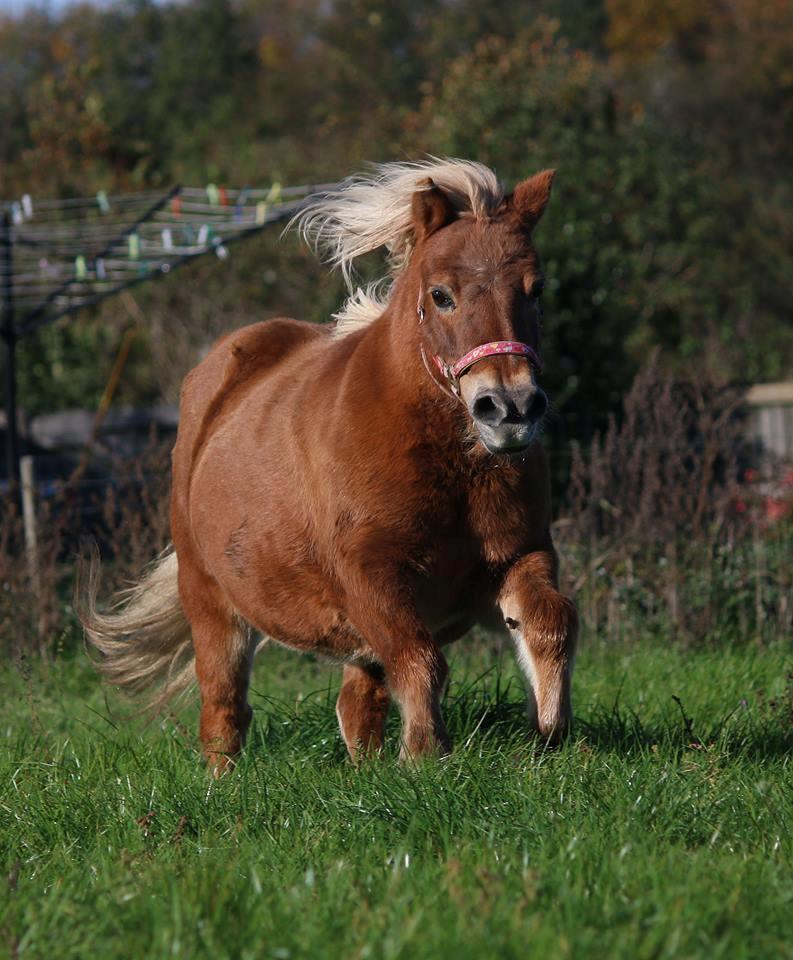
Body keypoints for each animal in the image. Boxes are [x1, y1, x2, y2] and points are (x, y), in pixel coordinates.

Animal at [83, 158, 580, 772]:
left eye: (536, 290)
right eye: (441, 294)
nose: (510, 408)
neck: (448, 469)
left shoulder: (520, 555)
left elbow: (551, 621)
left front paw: (550, 730)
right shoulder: (372, 578)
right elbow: (421, 661)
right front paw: (425, 758)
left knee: (356, 703)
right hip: (210, 600)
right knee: (223, 709)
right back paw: (222, 778)